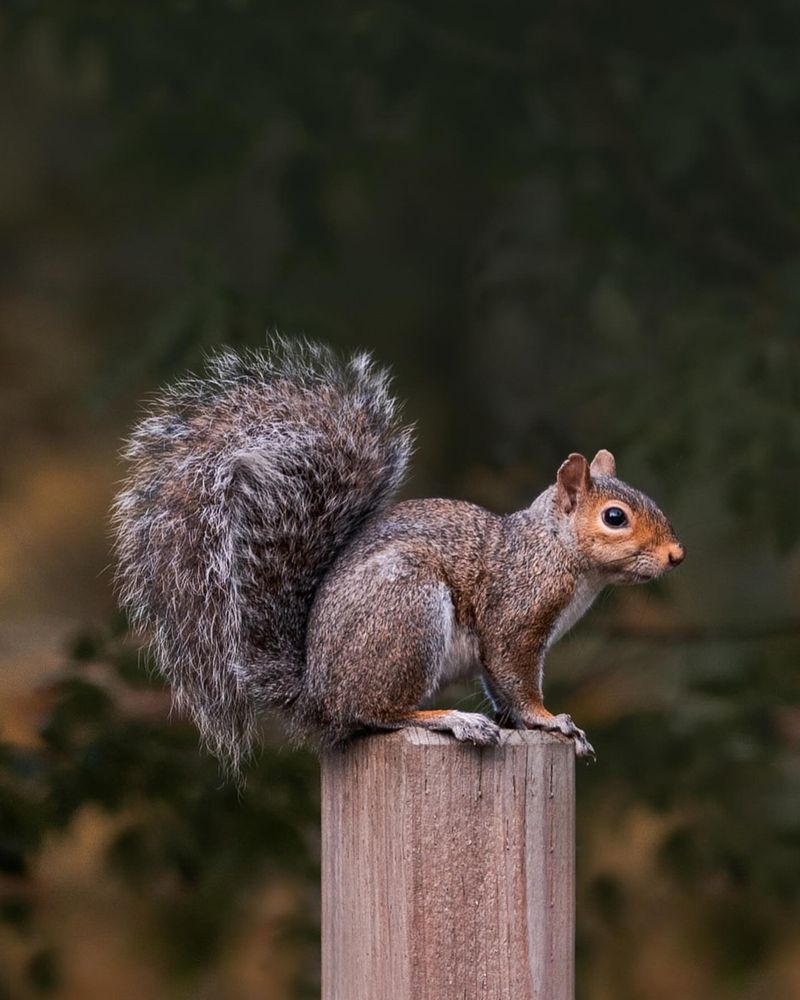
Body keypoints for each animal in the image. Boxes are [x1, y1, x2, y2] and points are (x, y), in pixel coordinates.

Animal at [112, 338, 685, 774]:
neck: (555, 552)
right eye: (615, 517)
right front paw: (551, 720)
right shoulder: (516, 615)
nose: (676, 555)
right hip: (407, 608)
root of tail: (318, 695)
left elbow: (502, 692)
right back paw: (451, 719)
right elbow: (514, 680)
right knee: (377, 713)